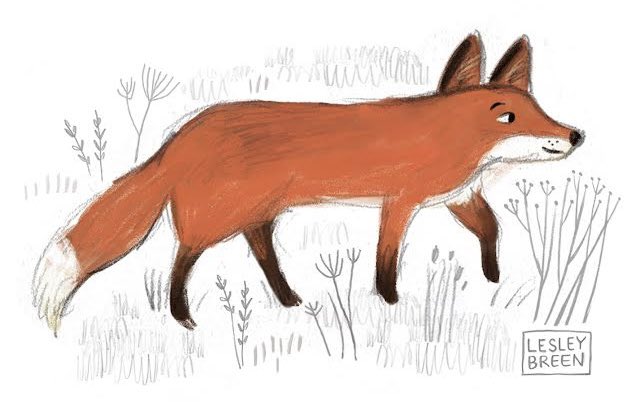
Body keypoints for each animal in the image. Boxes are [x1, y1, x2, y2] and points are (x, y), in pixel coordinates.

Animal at [33, 33, 583, 334]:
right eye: (508, 116)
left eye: (537, 107)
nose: (574, 135)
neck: (447, 136)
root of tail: (179, 137)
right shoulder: (400, 203)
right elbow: (387, 259)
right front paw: (390, 304)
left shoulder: (458, 198)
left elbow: (491, 229)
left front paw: (493, 277)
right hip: (216, 217)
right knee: (181, 258)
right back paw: (182, 316)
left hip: (257, 215)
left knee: (260, 253)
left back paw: (288, 300)